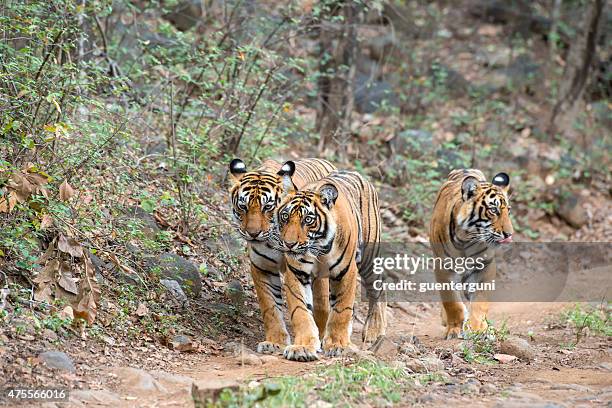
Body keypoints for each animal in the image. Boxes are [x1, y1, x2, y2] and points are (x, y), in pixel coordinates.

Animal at [228, 158, 338, 356]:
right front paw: (275, 342)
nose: (253, 233)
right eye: (243, 206)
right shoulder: (263, 268)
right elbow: (270, 307)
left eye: (268, 207)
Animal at [268, 167, 384, 362]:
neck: (319, 247)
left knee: (378, 289)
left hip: (370, 257)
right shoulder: (297, 273)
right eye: (285, 217)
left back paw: (375, 331)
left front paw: (338, 345)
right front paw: (302, 347)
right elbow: (300, 311)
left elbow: (341, 310)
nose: (289, 244)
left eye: (308, 220)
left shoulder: (346, 272)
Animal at [428, 167, 512, 340]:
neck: (465, 239)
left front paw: (478, 329)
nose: (509, 234)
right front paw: (454, 329)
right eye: (493, 210)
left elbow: (480, 302)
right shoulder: (443, 267)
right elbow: (452, 302)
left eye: (509, 210)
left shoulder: (485, 267)